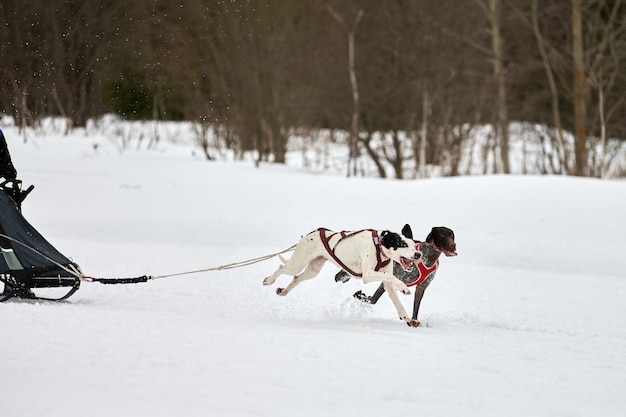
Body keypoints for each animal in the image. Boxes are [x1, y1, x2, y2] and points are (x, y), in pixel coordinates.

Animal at [264, 226, 420, 326]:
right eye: (403, 244)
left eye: (414, 245)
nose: (418, 254)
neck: (379, 246)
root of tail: (312, 232)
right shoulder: (368, 275)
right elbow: (390, 277)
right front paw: (403, 286)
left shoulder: (386, 282)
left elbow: (397, 300)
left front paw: (407, 318)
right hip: (297, 264)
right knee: (282, 268)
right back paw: (269, 280)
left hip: (313, 270)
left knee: (296, 278)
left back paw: (284, 291)